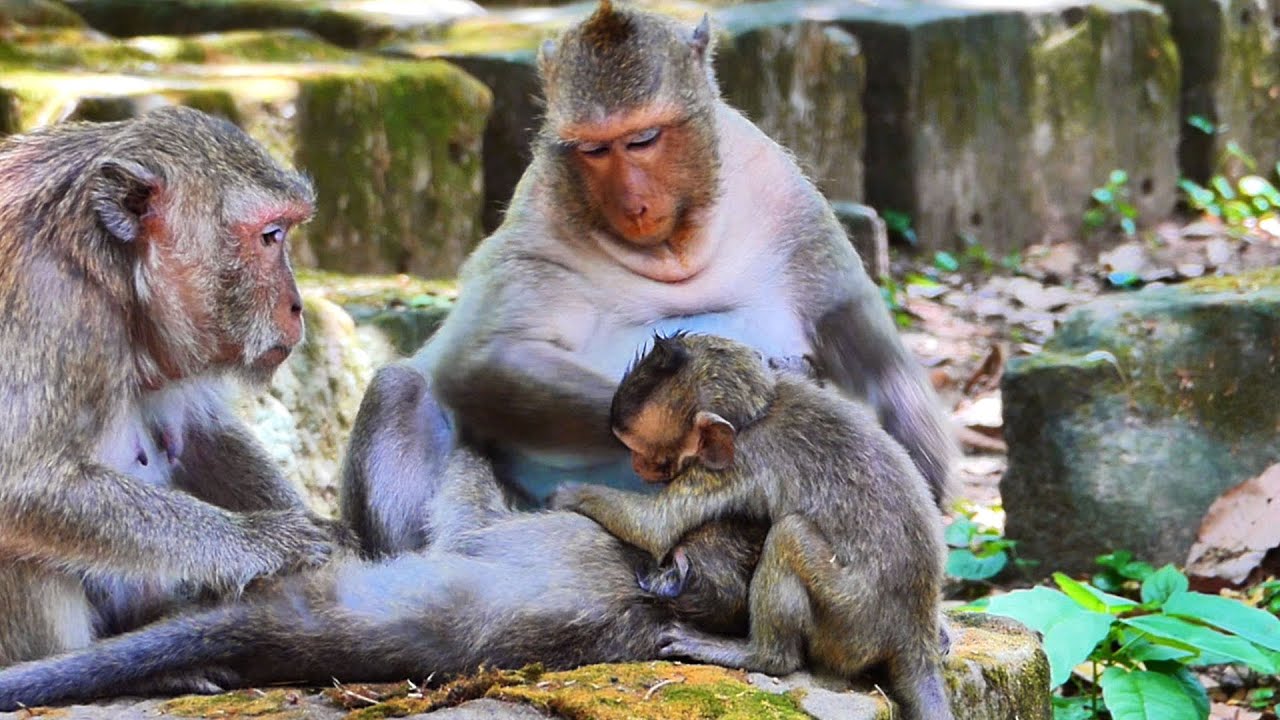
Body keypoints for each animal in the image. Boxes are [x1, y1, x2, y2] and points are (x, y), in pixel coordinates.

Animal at [0, 106, 345, 668]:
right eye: (271, 235)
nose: (297, 307)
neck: (106, 268)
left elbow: (200, 437)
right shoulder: (48, 301)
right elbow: (20, 484)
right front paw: (264, 542)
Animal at [339, 0, 955, 563]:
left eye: (643, 139)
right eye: (593, 149)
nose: (632, 203)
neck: (674, 246)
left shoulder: (785, 195)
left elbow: (862, 343)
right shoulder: (538, 219)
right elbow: (481, 360)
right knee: (403, 388)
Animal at [551, 333, 954, 720]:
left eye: (645, 453)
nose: (636, 466)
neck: (761, 411)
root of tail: (912, 634)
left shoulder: (734, 464)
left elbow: (655, 528)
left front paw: (568, 495)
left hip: (848, 622)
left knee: (789, 534)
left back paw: (761, 656)